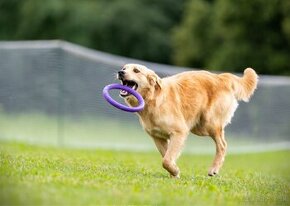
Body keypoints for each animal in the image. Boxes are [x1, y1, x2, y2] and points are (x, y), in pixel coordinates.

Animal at [117, 63, 258, 178]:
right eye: (124, 68)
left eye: (136, 70)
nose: (120, 72)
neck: (153, 100)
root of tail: (221, 77)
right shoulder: (157, 137)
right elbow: (166, 156)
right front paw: (174, 173)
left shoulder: (180, 132)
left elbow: (166, 160)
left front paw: (175, 171)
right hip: (199, 127)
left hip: (208, 124)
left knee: (223, 145)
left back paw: (214, 169)